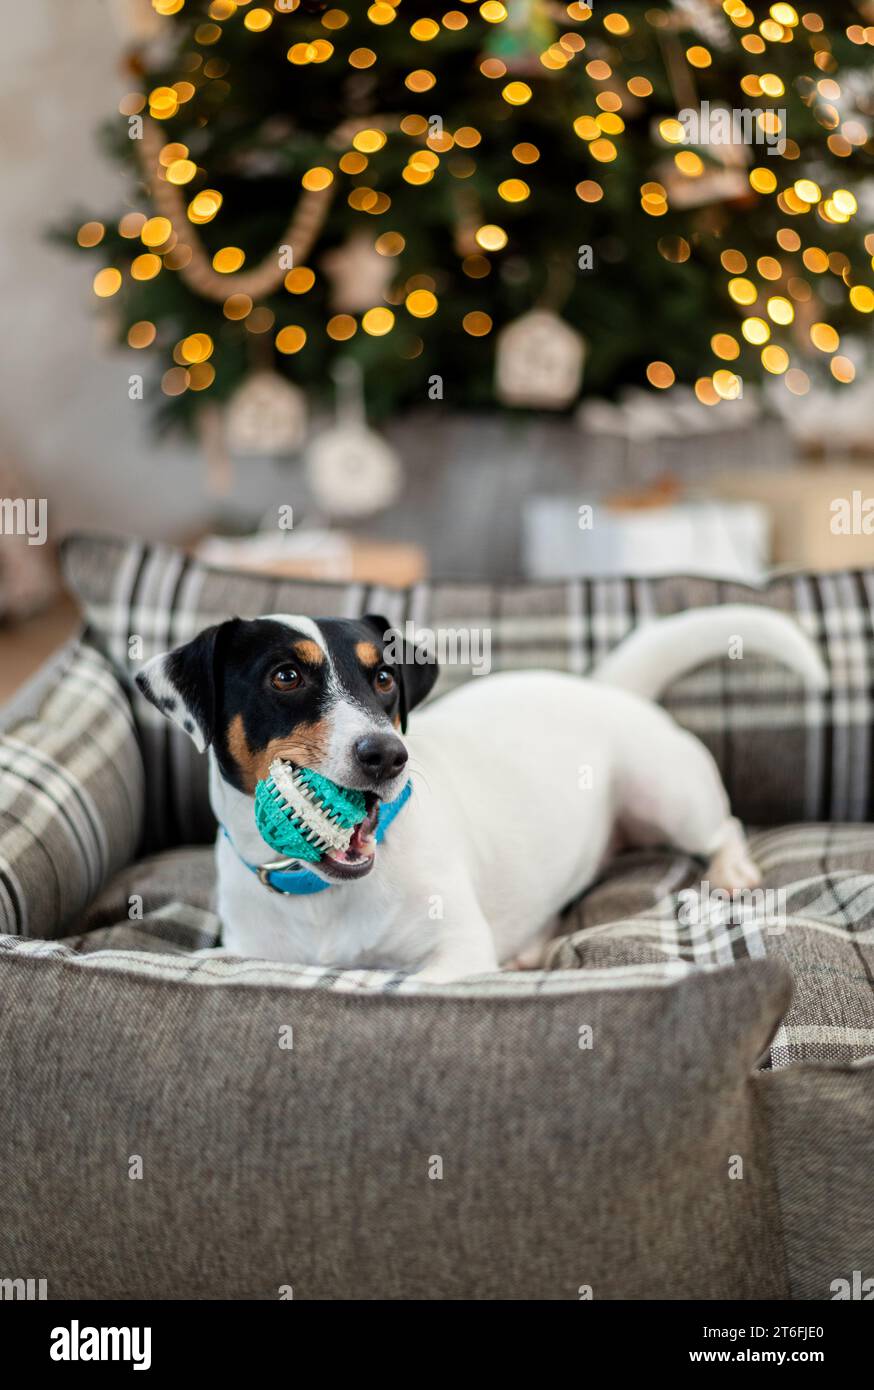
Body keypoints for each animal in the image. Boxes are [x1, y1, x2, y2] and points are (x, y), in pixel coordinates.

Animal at [136, 606, 822, 978]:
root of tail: (603, 686)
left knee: (724, 828)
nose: (388, 755)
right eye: (285, 676)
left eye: (384, 677)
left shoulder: (458, 953)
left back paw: (732, 870)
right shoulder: (252, 955)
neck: (323, 896)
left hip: (669, 795)